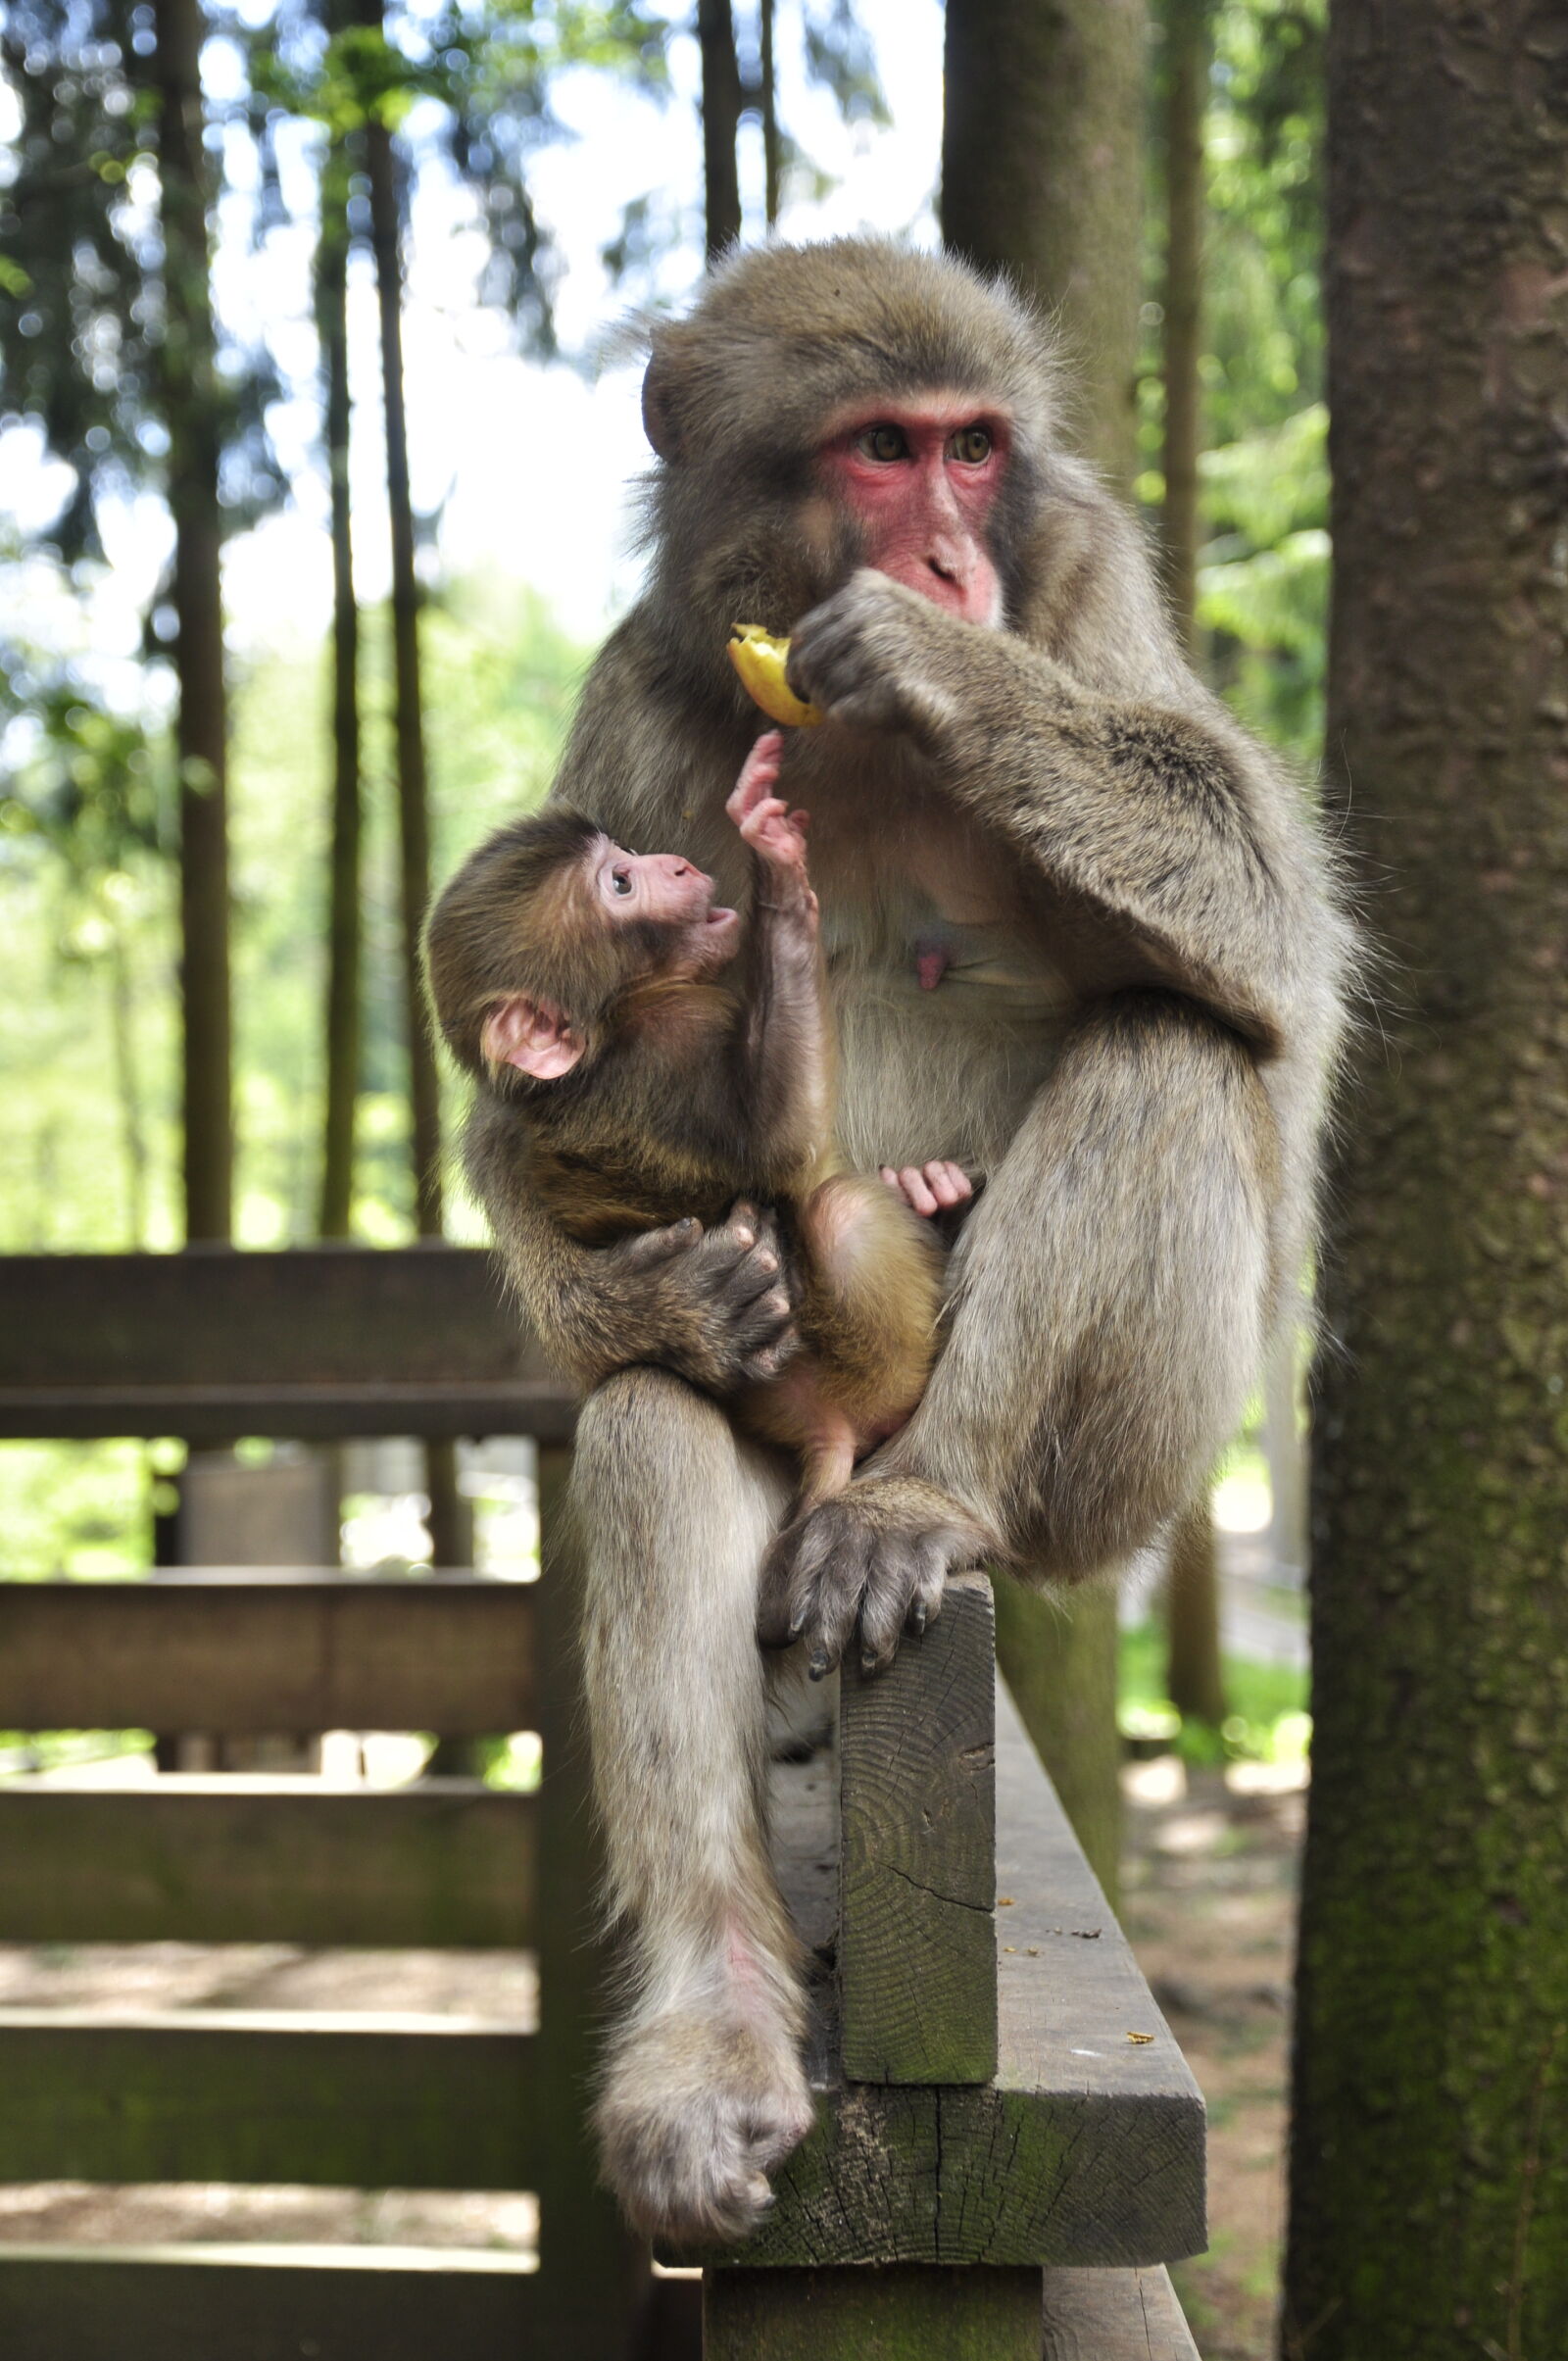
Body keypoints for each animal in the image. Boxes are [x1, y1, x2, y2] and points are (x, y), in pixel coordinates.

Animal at [424, 731, 967, 1510]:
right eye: (620, 884)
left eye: (624, 854)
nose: (675, 863)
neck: (612, 1031)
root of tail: (826, 1429)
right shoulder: (669, 1048)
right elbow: (782, 1139)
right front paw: (775, 860)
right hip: (880, 1355)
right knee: (840, 1212)